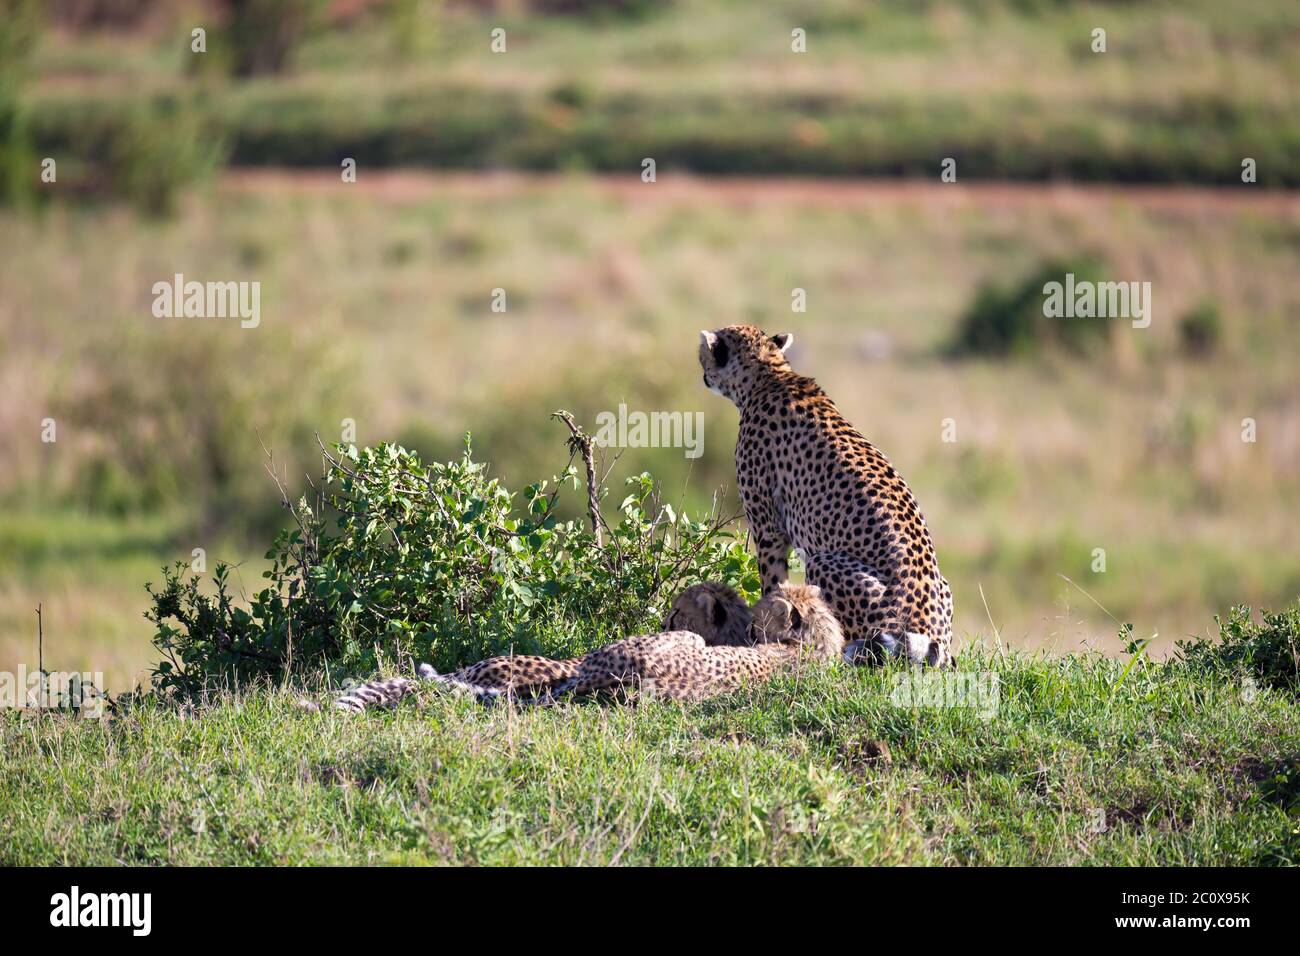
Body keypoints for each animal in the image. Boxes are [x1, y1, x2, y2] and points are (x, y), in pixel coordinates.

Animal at [702, 325, 956, 671]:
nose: (703, 373)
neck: (770, 373)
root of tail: (930, 629)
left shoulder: (768, 528)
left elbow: (773, 582)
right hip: (945, 588)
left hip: (825, 563)